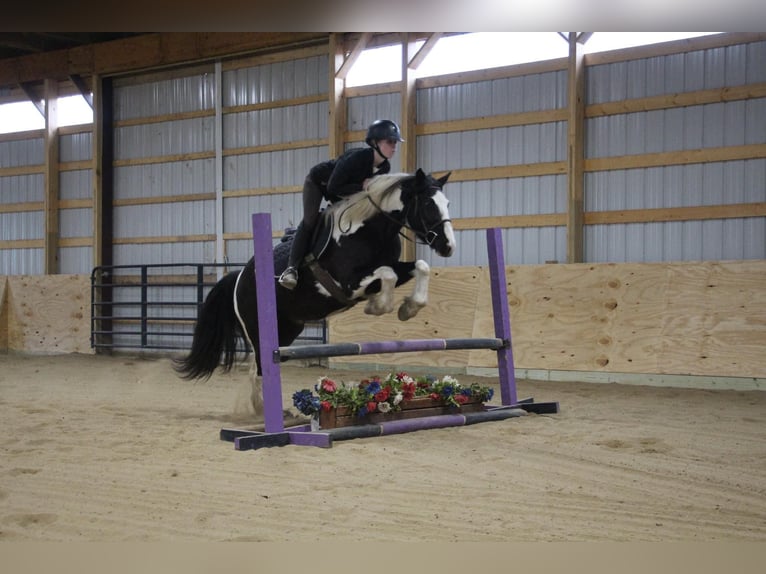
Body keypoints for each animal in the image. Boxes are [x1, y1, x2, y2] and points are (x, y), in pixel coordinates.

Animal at [174, 169, 456, 412]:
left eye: (447, 203)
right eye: (429, 204)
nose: (448, 246)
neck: (368, 230)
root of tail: (239, 277)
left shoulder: (387, 270)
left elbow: (420, 266)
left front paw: (409, 308)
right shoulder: (348, 282)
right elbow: (387, 273)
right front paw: (378, 306)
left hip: (288, 330)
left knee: (259, 367)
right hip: (258, 330)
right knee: (261, 368)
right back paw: (265, 412)